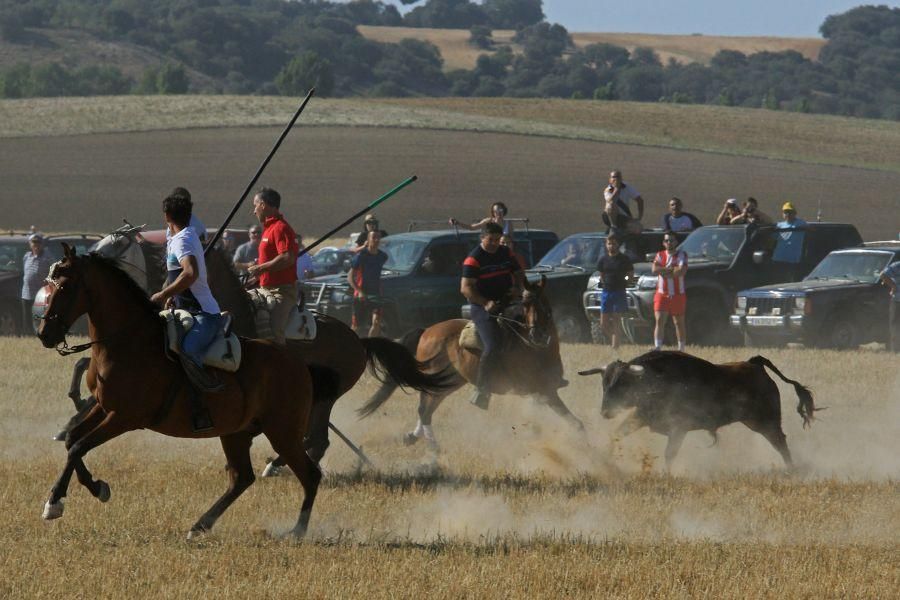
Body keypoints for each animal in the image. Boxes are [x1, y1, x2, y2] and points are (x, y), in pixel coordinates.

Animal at [38, 246, 326, 536]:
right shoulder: (102, 406)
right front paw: (93, 488)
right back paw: (200, 525)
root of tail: (299, 364)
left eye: (65, 286)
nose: (44, 333)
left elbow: (79, 446)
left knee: (310, 475)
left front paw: (56, 501)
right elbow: (72, 440)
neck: (127, 342)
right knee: (242, 477)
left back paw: (297, 530)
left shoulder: (124, 418)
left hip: (283, 432)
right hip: (236, 432)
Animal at [358, 276, 584, 450]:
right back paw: (433, 446)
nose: (537, 334)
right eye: (525, 305)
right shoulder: (544, 392)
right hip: (435, 378)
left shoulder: (543, 393)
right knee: (424, 409)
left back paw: (414, 437)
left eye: (543, 304)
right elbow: (574, 423)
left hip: (450, 381)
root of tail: (427, 331)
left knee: (427, 409)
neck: (535, 350)